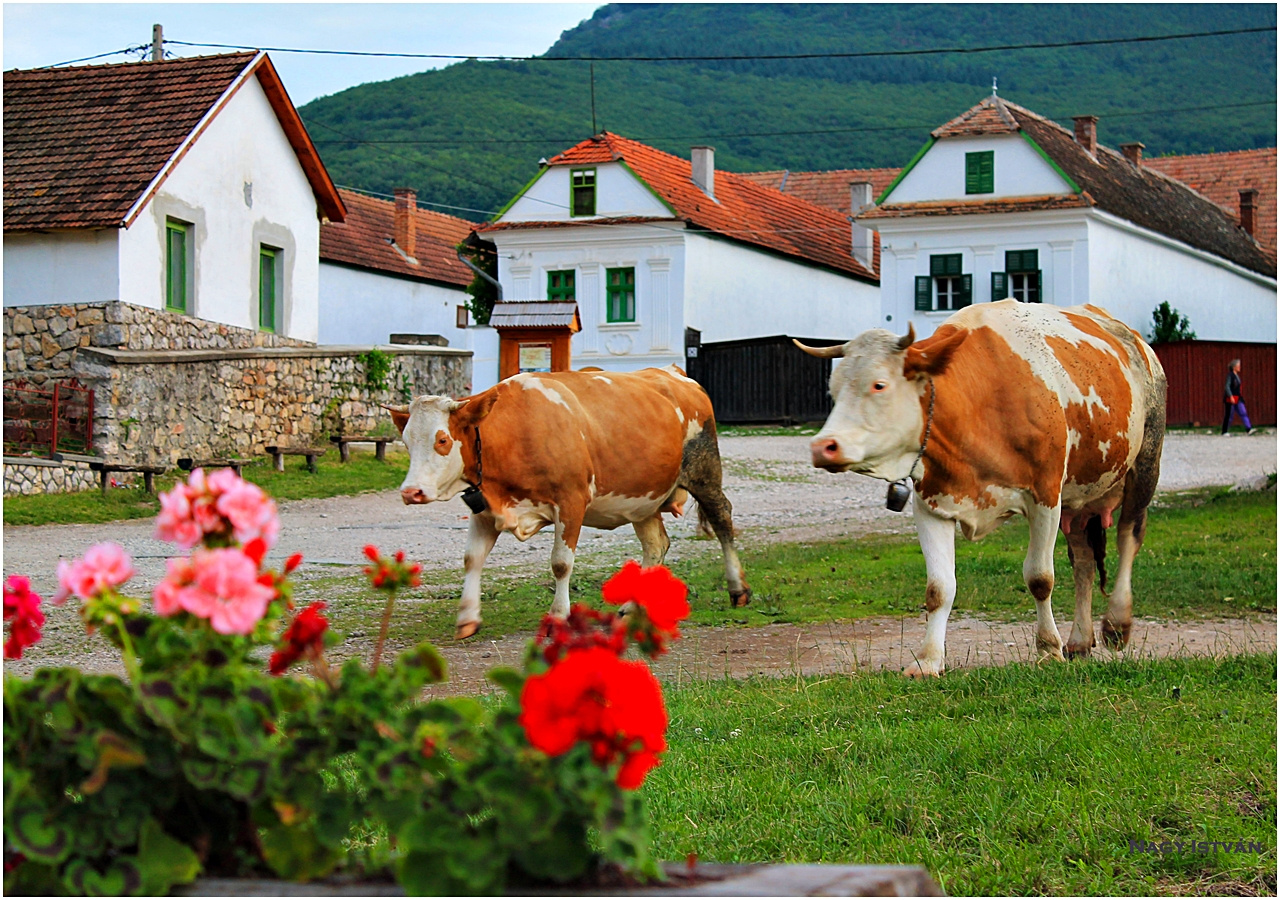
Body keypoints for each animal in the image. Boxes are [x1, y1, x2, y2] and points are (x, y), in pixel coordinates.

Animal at [389, 363, 747, 637]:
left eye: (442, 439)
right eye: (406, 440)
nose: (410, 491)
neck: (517, 431)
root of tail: (673, 372)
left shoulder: (571, 500)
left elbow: (561, 563)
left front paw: (558, 617)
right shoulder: (486, 507)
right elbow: (472, 559)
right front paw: (467, 618)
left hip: (704, 471)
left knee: (722, 520)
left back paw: (737, 589)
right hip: (644, 497)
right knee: (656, 545)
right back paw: (633, 608)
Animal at [798, 302, 1172, 675]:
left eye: (879, 385)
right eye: (833, 390)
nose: (823, 447)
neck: (981, 403)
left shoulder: (1046, 496)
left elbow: (1040, 578)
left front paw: (1047, 649)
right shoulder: (931, 502)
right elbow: (939, 588)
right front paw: (928, 660)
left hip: (1145, 465)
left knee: (1128, 537)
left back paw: (1117, 623)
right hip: (1079, 499)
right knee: (1083, 560)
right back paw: (1080, 639)